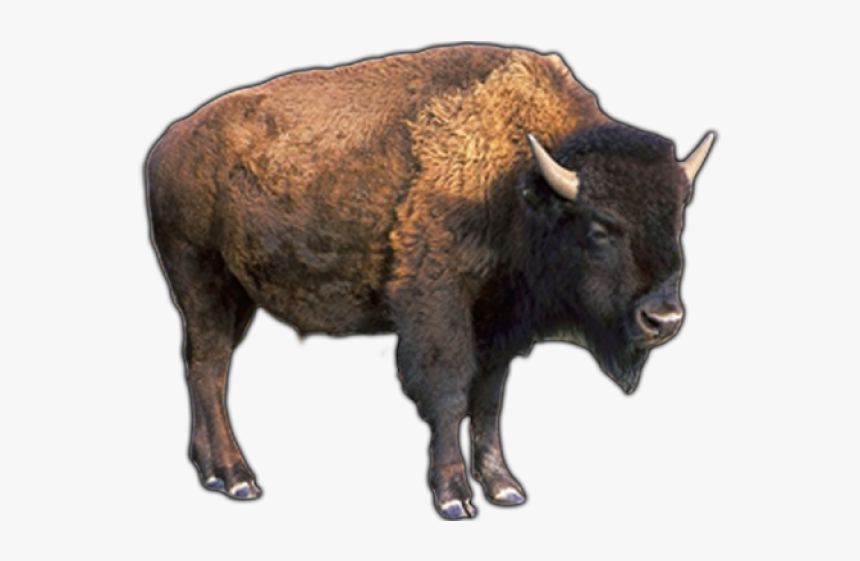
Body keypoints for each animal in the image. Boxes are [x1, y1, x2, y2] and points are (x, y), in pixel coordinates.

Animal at [146, 44, 713, 519]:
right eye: (600, 228)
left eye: (678, 223)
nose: (664, 319)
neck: (516, 179)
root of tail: (168, 145)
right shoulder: (439, 303)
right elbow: (449, 393)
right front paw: (454, 497)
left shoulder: (498, 323)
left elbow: (489, 400)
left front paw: (505, 487)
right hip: (200, 279)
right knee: (209, 368)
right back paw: (237, 477)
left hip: (236, 296)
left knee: (207, 367)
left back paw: (211, 470)